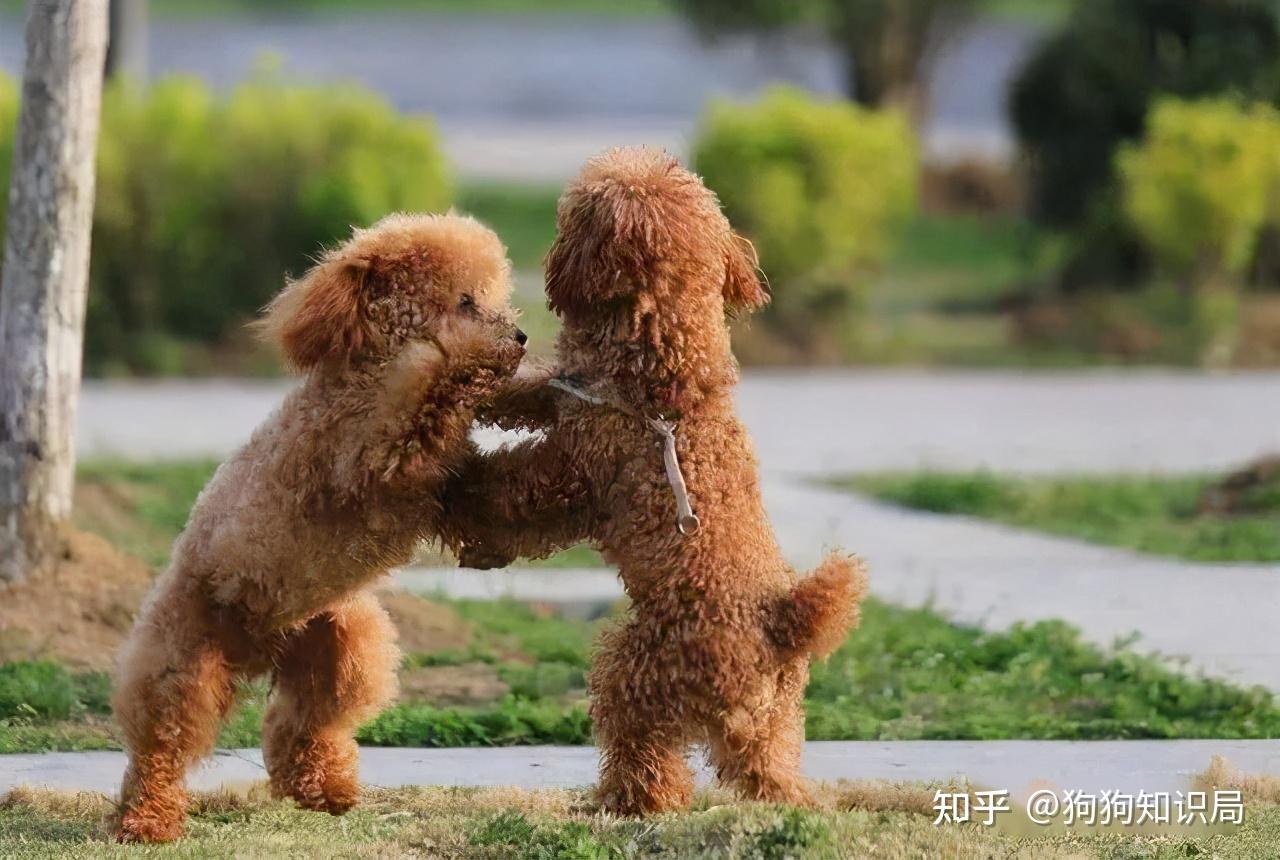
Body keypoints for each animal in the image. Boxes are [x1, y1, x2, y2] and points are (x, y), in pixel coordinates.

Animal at [111, 211, 524, 844]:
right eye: (464, 301)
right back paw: (146, 817)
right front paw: (469, 366)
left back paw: (318, 788)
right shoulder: (368, 455)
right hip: (183, 653)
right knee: (164, 740)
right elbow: (423, 402)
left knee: (301, 722)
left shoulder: (432, 490)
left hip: (340, 643)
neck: (368, 375)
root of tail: (259, 647)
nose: (521, 338)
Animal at [440, 145, 870, 813]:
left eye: (580, 207)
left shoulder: (576, 471)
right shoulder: (569, 394)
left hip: (637, 670)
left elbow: (511, 492)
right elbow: (529, 389)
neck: (666, 368)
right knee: (767, 772)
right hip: (768, 722)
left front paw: (465, 501)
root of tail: (781, 629)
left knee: (643, 749)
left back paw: (624, 800)